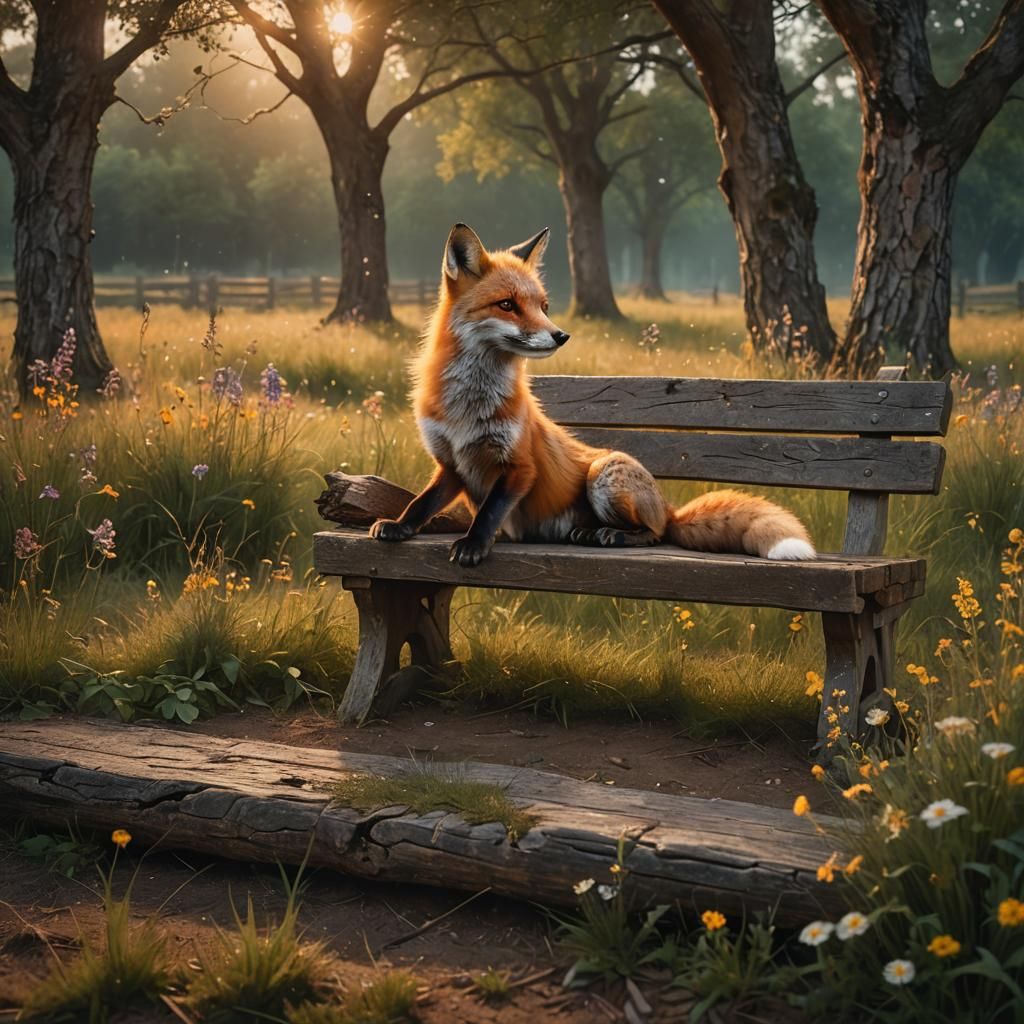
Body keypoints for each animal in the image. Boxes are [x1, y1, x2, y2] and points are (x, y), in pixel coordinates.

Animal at [369, 223, 816, 568]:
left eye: (544, 305)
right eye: (507, 304)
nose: (560, 335)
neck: (468, 405)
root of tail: (668, 505)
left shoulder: (520, 467)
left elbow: (490, 513)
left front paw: (474, 544)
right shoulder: (452, 465)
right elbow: (422, 503)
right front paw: (400, 525)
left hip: (604, 475)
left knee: (656, 533)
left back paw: (611, 535)